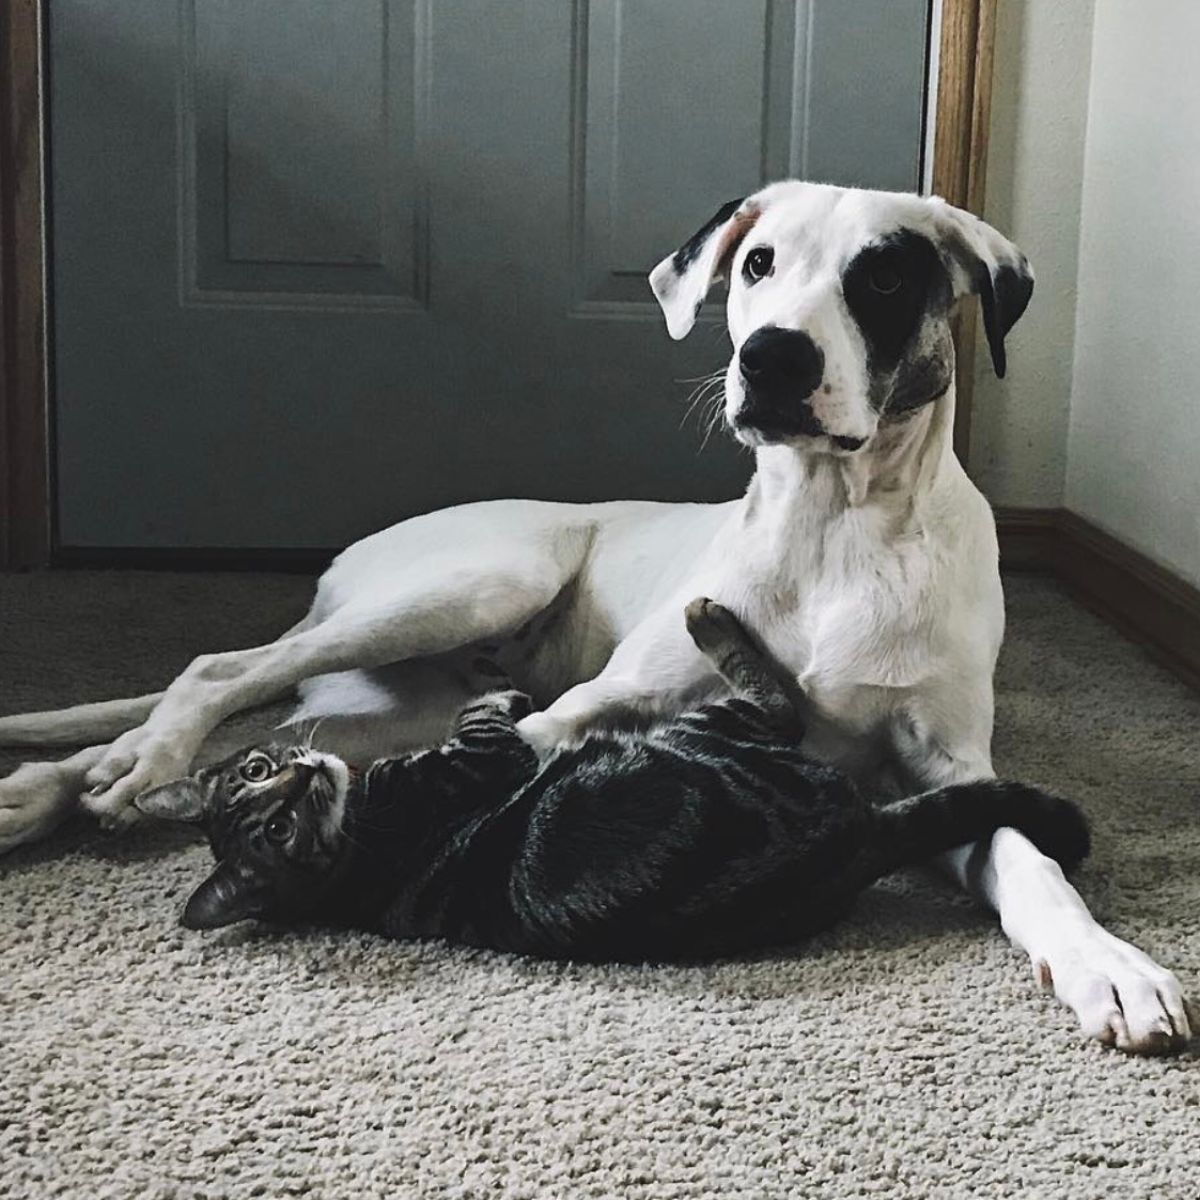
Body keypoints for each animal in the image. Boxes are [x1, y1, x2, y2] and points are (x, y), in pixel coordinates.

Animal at [138, 600, 1089, 964]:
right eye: (276, 829)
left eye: (257, 770)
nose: (302, 772)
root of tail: (856, 841)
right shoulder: (470, 762)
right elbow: (487, 724)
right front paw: (498, 690)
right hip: (721, 731)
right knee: (771, 696)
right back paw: (711, 618)